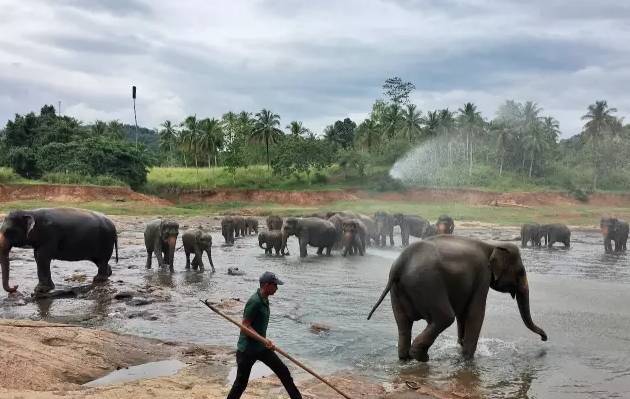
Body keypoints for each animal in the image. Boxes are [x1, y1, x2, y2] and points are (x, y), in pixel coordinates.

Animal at [368, 238, 552, 362]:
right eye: (521, 272)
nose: (544, 339)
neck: (492, 245)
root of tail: (400, 265)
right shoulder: (482, 275)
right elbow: (475, 313)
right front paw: (468, 359)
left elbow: (463, 314)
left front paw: (461, 348)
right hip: (428, 284)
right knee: (444, 317)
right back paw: (422, 357)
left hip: (398, 292)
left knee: (403, 323)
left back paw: (405, 358)